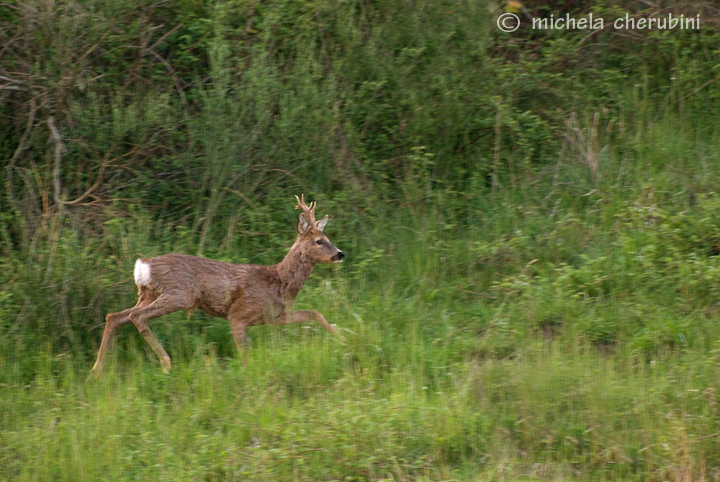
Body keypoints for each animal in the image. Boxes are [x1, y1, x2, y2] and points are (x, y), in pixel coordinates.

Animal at [90, 194, 346, 374]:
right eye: (319, 241)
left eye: (328, 238)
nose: (340, 254)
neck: (278, 282)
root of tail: (143, 266)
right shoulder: (238, 314)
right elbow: (245, 354)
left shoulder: (275, 316)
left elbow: (314, 313)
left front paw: (342, 337)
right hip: (179, 294)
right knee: (136, 316)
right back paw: (165, 362)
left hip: (147, 294)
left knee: (115, 316)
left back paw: (96, 371)